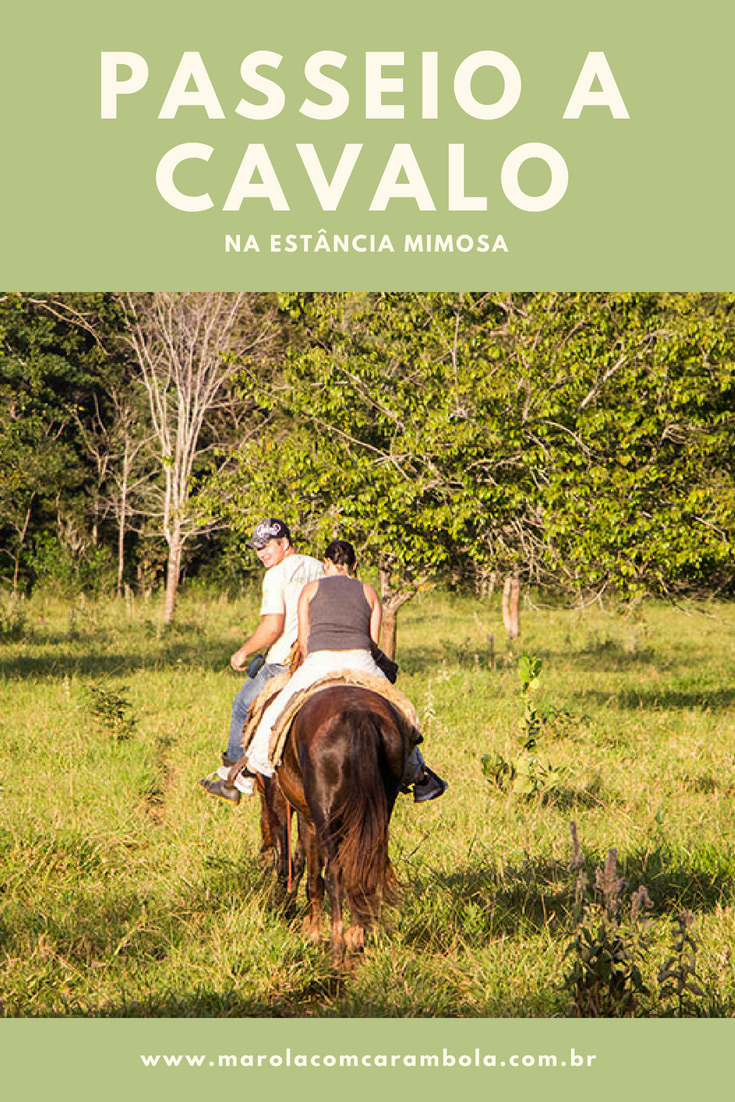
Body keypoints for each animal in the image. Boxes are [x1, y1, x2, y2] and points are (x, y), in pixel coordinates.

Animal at [260, 687, 407, 956]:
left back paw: (337, 943)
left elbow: (304, 869)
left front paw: (310, 930)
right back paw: (356, 936)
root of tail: (359, 717)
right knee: (362, 868)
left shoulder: (298, 812)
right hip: (379, 810)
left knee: (333, 873)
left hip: (326, 817)